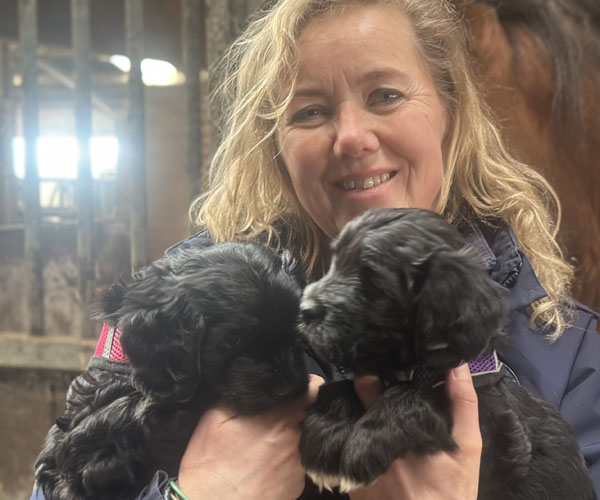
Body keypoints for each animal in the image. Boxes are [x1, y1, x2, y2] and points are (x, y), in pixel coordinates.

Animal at [298, 208, 596, 500]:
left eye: (373, 283)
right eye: (335, 262)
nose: (304, 309)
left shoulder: (492, 443)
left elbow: (411, 397)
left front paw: (360, 450)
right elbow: (340, 387)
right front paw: (322, 444)